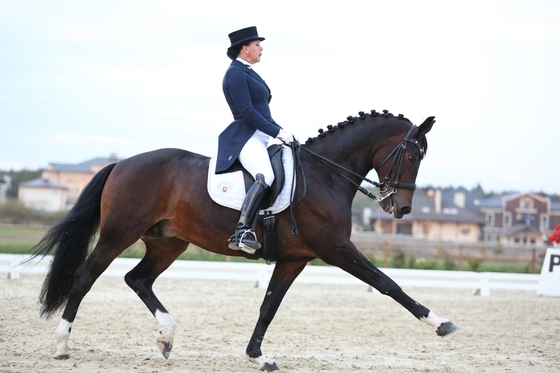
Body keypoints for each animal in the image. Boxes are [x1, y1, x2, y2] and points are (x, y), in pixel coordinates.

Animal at [30, 109, 458, 370]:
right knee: (85, 276)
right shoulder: (336, 249)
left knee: (138, 279)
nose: (401, 208)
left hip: (168, 242)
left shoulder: (295, 259)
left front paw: (258, 356)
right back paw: (62, 346)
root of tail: (121, 163)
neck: (325, 175)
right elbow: (387, 283)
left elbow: (268, 306)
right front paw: (440, 323)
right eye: (412, 156)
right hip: (120, 233)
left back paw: (167, 337)